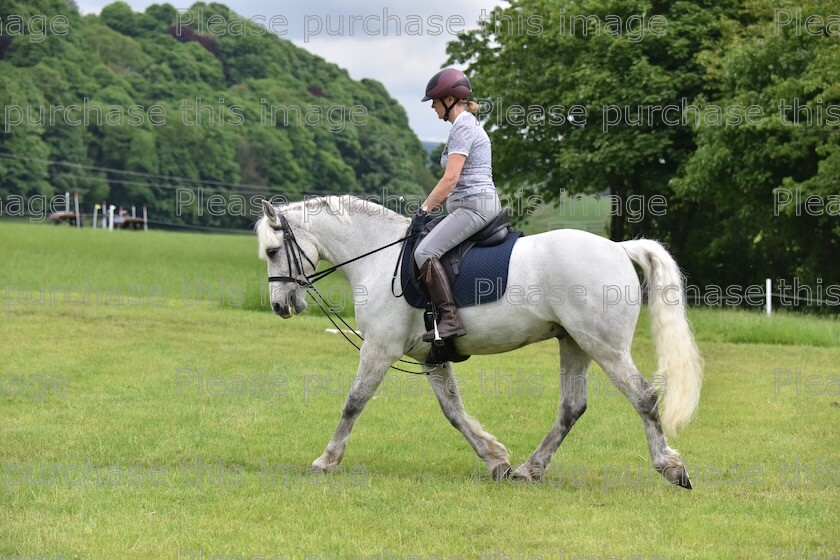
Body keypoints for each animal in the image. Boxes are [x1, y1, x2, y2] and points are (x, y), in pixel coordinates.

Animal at [256, 195, 704, 488]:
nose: (280, 305)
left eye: (273, 250)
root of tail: (618, 248)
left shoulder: (379, 349)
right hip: (575, 343)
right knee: (572, 407)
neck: (377, 258)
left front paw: (326, 460)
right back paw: (529, 469)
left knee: (644, 397)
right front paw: (496, 459)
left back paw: (670, 467)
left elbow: (354, 402)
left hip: (604, 346)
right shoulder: (431, 357)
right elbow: (453, 412)